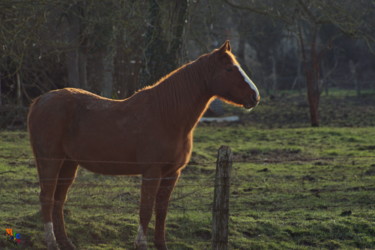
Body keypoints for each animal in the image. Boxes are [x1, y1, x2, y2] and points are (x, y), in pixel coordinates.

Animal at [27, 40, 260, 249]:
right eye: (230, 69)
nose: (255, 96)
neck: (166, 115)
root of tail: (40, 101)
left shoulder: (172, 173)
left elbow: (161, 210)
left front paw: (161, 244)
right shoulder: (152, 171)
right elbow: (146, 208)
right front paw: (141, 243)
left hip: (68, 163)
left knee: (58, 200)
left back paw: (65, 242)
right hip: (51, 160)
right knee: (46, 197)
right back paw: (52, 242)